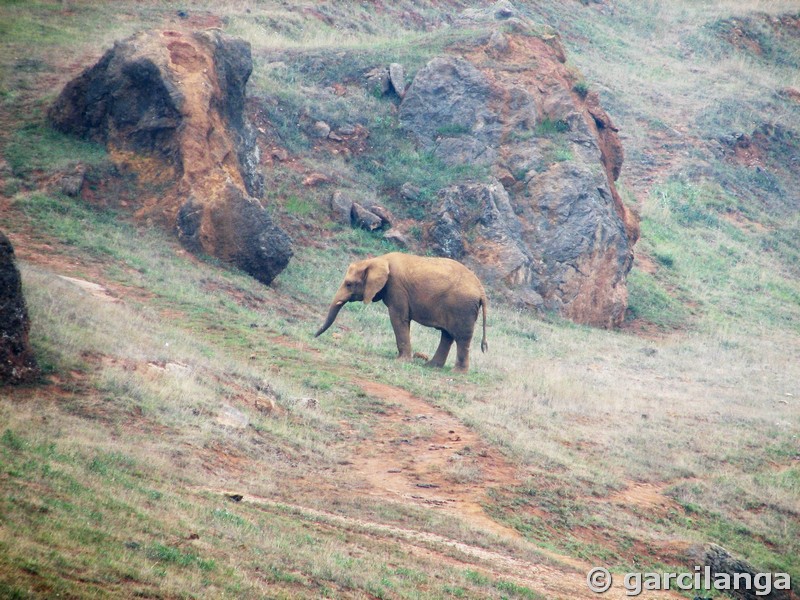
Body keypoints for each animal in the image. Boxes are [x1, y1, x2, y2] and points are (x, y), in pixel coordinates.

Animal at [312, 250, 488, 370]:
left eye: (349, 284)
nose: (313, 336)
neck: (378, 260)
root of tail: (481, 289)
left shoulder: (396, 287)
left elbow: (398, 318)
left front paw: (401, 361)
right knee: (447, 335)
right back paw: (432, 366)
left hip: (463, 307)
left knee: (461, 337)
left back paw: (457, 372)